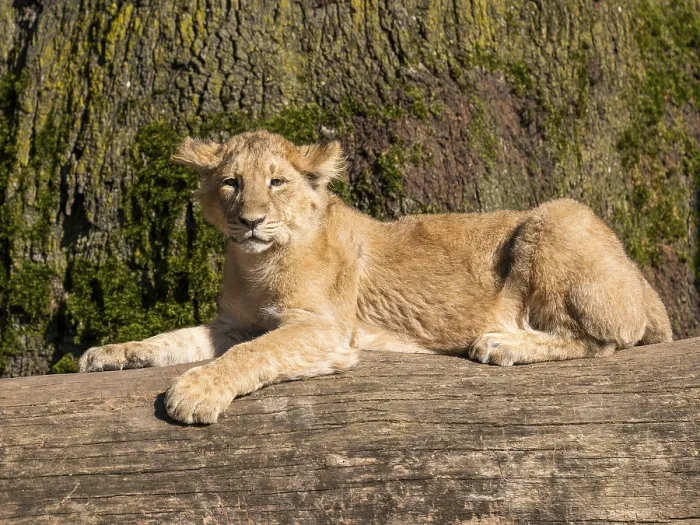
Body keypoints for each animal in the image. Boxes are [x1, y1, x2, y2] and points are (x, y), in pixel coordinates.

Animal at [79, 130, 673, 424]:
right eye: (230, 183)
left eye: (276, 182)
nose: (249, 221)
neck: (257, 263)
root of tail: (644, 284)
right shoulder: (234, 323)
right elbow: (175, 338)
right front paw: (112, 352)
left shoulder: (325, 330)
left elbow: (251, 355)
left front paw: (196, 392)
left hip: (557, 215)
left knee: (600, 341)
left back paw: (504, 344)